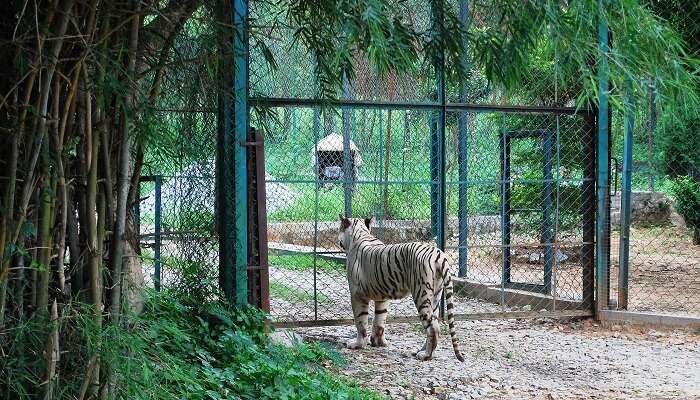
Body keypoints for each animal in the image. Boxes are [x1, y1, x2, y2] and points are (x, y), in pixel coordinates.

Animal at [340, 216, 464, 362]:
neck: (360, 233)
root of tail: (437, 253)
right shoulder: (382, 297)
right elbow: (380, 320)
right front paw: (379, 342)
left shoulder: (357, 295)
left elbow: (361, 322)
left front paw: (358, 344)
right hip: (435, 296)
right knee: (434, 323)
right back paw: (421, 351)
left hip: (421, 294)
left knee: (433, 327)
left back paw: (426, 355)